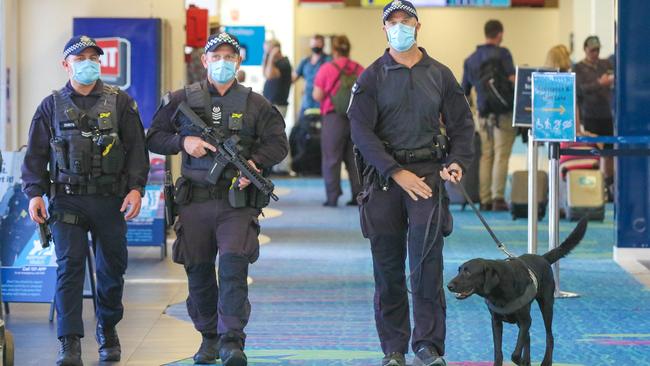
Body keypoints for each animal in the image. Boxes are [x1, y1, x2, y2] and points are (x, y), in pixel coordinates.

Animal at [20, 35, 149, 366]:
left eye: (94, 55)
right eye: (80, 56)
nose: (90, 59)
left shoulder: (130, 114)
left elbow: (136, 148)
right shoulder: (41, 115)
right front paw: (68, 346)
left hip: (111, 233)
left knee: (110, 274)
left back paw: (108, 338)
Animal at [346, 1, 474, 364]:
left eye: (406, 18)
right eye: (393, 21)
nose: (398, 24)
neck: (406, 64)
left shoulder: (451, 85)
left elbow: (461, 120)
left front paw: (429, 346)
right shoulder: (363, 87)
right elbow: (363, 126)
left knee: (421, 270)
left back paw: (427, 348)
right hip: (379, 218)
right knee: (389, 278)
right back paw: (393, 351)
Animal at [446, 219, 588, 364]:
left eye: (468, 272)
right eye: (459, 270)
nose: (448, 286)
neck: (499, 291)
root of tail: (543, 258)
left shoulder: (526, 321)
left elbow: (515, 354)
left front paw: (521, 361)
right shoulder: (496, 322)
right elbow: (498, 352)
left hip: (547, 305)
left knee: (549, 336)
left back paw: (545, 361)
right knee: (529, 338)